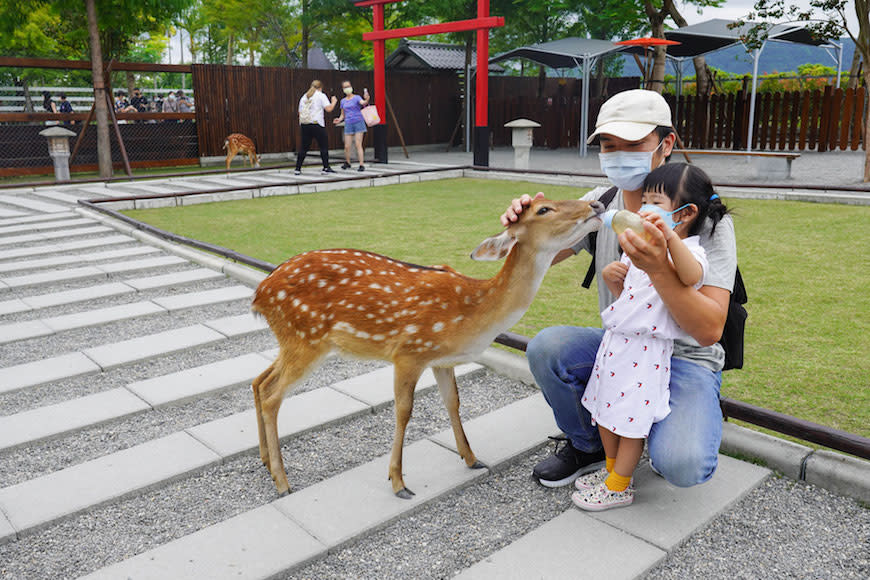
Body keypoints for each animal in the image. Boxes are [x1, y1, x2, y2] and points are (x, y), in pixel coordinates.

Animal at [252, 197, 608, 496]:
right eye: (543, 209)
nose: (596, 204)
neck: (472, 313)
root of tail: (259, 294)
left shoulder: (441, 359)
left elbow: (453, 402)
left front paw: (471, 458)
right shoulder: (409, 351)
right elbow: (404, 410)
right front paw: (398, 482)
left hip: (294, 340)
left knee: (259, 380)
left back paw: (266, 462)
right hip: (306, 337)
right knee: (272, 395)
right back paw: (282, 481)